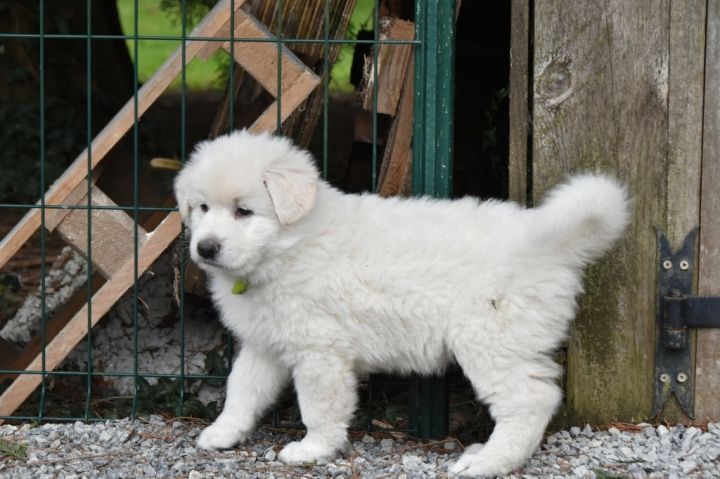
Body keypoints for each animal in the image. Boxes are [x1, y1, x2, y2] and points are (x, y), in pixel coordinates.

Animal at [174, 130, 630, 477]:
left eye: (244, 211)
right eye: (202, 207)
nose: (206, 248)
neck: (288, 246)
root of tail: (547, 243)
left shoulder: (320, 351)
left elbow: (319, 406)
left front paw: (312, 449)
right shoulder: (264, 343)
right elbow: (241, 389)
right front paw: (222, 432)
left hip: (492, 340)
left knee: (529, 401)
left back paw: (489, 462)